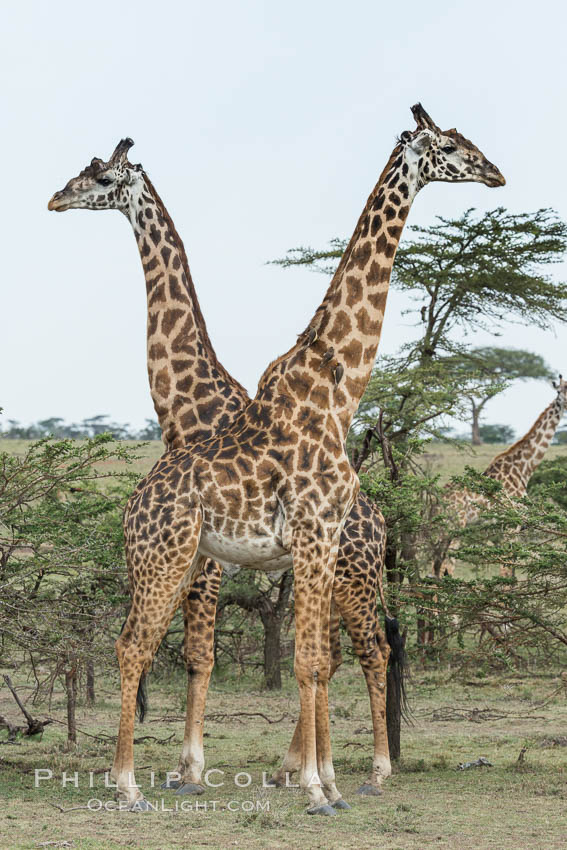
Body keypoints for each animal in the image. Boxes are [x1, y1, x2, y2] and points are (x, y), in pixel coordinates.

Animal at [47, 102, 502, 812]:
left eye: (98, 177)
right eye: (452, 146)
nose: (495, 172)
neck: (335, 392)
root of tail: (133, 506)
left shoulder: (309, 542)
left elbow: (301, 659)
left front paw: (310, 782)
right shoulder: (293, 540)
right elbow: (272, 659)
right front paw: (301, 785)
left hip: (321, 571)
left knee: (364, 650)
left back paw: (354, 771)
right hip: (173, 558)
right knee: (134, 646)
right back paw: (131, 785)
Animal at [434, 378, 567, 576]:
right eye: (559, 390)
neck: (523, 468)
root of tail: (437, 499)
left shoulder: (514, 526)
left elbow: (511, 571)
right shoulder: (510, 524)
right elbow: (506, 569)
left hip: (443, 528)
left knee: (435, 566)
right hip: (456, 524)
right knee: (446, 566)